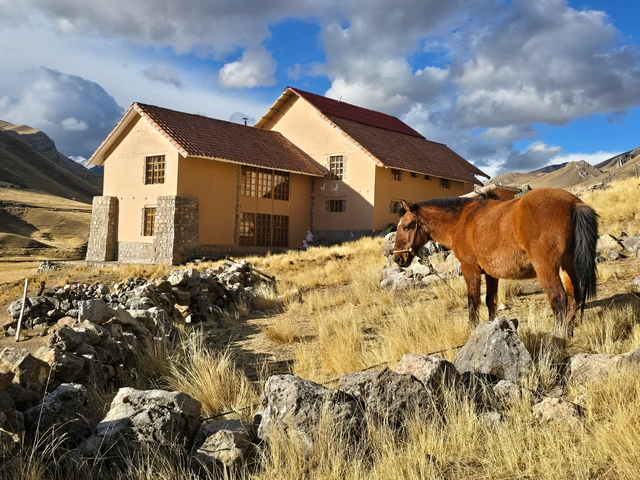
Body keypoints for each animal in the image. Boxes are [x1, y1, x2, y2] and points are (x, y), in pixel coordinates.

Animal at [393, 188, 598, 336]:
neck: (461, 220)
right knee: (574, 296)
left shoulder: (469, 269)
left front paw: (472, 327)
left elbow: (473, 300)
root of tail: (573, 203)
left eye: (407, 226)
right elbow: (490, 301)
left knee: (559, 298)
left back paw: (559, 334)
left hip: (546, 269)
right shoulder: (491, 274)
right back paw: (569, 331)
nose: (398, 258)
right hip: (568, 266)